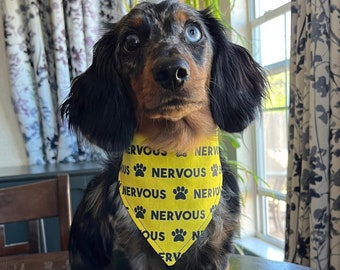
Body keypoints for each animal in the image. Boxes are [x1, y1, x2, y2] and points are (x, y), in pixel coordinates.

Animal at [60, 1, 268, 268]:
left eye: (193, 32)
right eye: (131, 42)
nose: (172, 72)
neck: (175, 152)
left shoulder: (217, 250)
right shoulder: (131, 252)